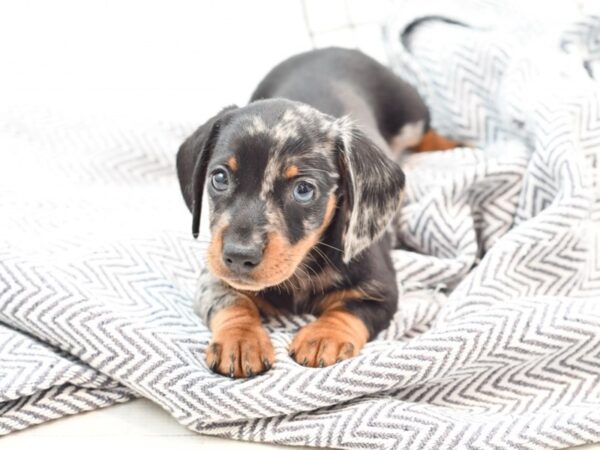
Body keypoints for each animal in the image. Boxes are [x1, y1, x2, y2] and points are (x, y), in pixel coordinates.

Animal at [176, 47, 458, 378]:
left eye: (303, 190)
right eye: (219, 178)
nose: (238, 256)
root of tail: (327, 49)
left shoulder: (382, 290)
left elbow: (349, 308)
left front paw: (324, 336)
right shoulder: (212, 278)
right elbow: (232, 300)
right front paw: (241, 338)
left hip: (409, 114)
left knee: (429, 133)